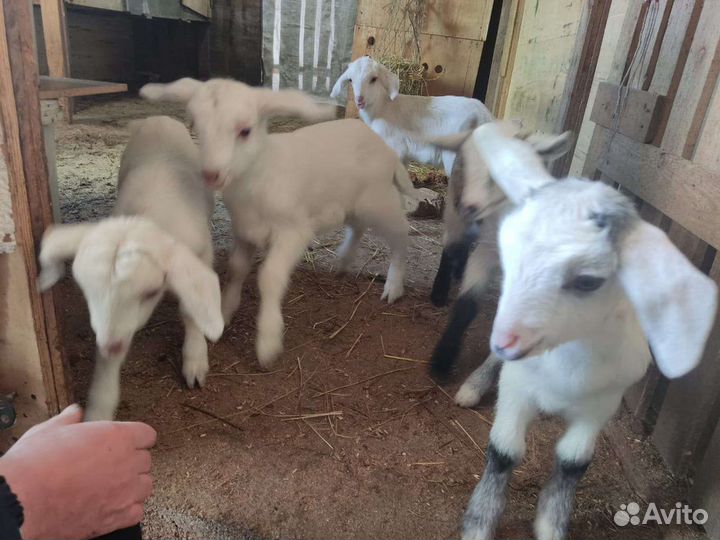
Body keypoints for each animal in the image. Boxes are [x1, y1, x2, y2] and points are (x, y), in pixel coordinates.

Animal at [37, 116, 223, 421]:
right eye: (87, 292)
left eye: (150, 293)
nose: (110, 345)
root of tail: (158, 118)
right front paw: (99, 410)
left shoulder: (202, 253)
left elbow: (191, 308)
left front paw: (195, 360)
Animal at [140, 78, 419, 369]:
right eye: (195, 125)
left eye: (245, 131)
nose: (211, 174)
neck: (260, 174)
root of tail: (386, 149)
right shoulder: (244, 231)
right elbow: (237, 268)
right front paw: (225, 311)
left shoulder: (294, 231)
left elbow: (270, 277)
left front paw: (268, 342)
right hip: (352, 203)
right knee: (357, 228)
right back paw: (343, 262)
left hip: (379, 200)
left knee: (401, 233)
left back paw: (393, 286)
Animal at [458, 122, 718, 540]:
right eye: (510, 252)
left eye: (588, 281)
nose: (506, 342)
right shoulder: (517, 386)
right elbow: (504, 451)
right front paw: (479, 524)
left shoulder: (603, 403)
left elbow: (573, 461)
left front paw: (550, 524)